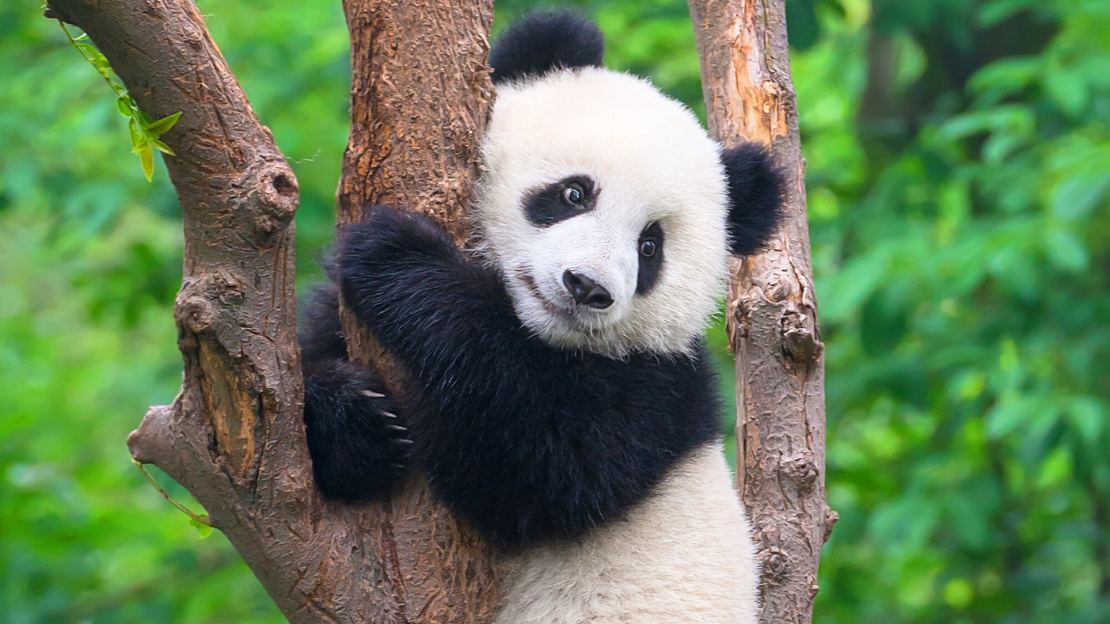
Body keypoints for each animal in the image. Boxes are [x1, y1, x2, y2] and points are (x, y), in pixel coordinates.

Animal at [299, 9, 783, 624]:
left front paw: (398, 257)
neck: (537, 332)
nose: (587, 286)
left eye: (650, 247)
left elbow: (541, 466)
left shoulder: (659, 389)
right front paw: (356, 422)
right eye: (574, 193)